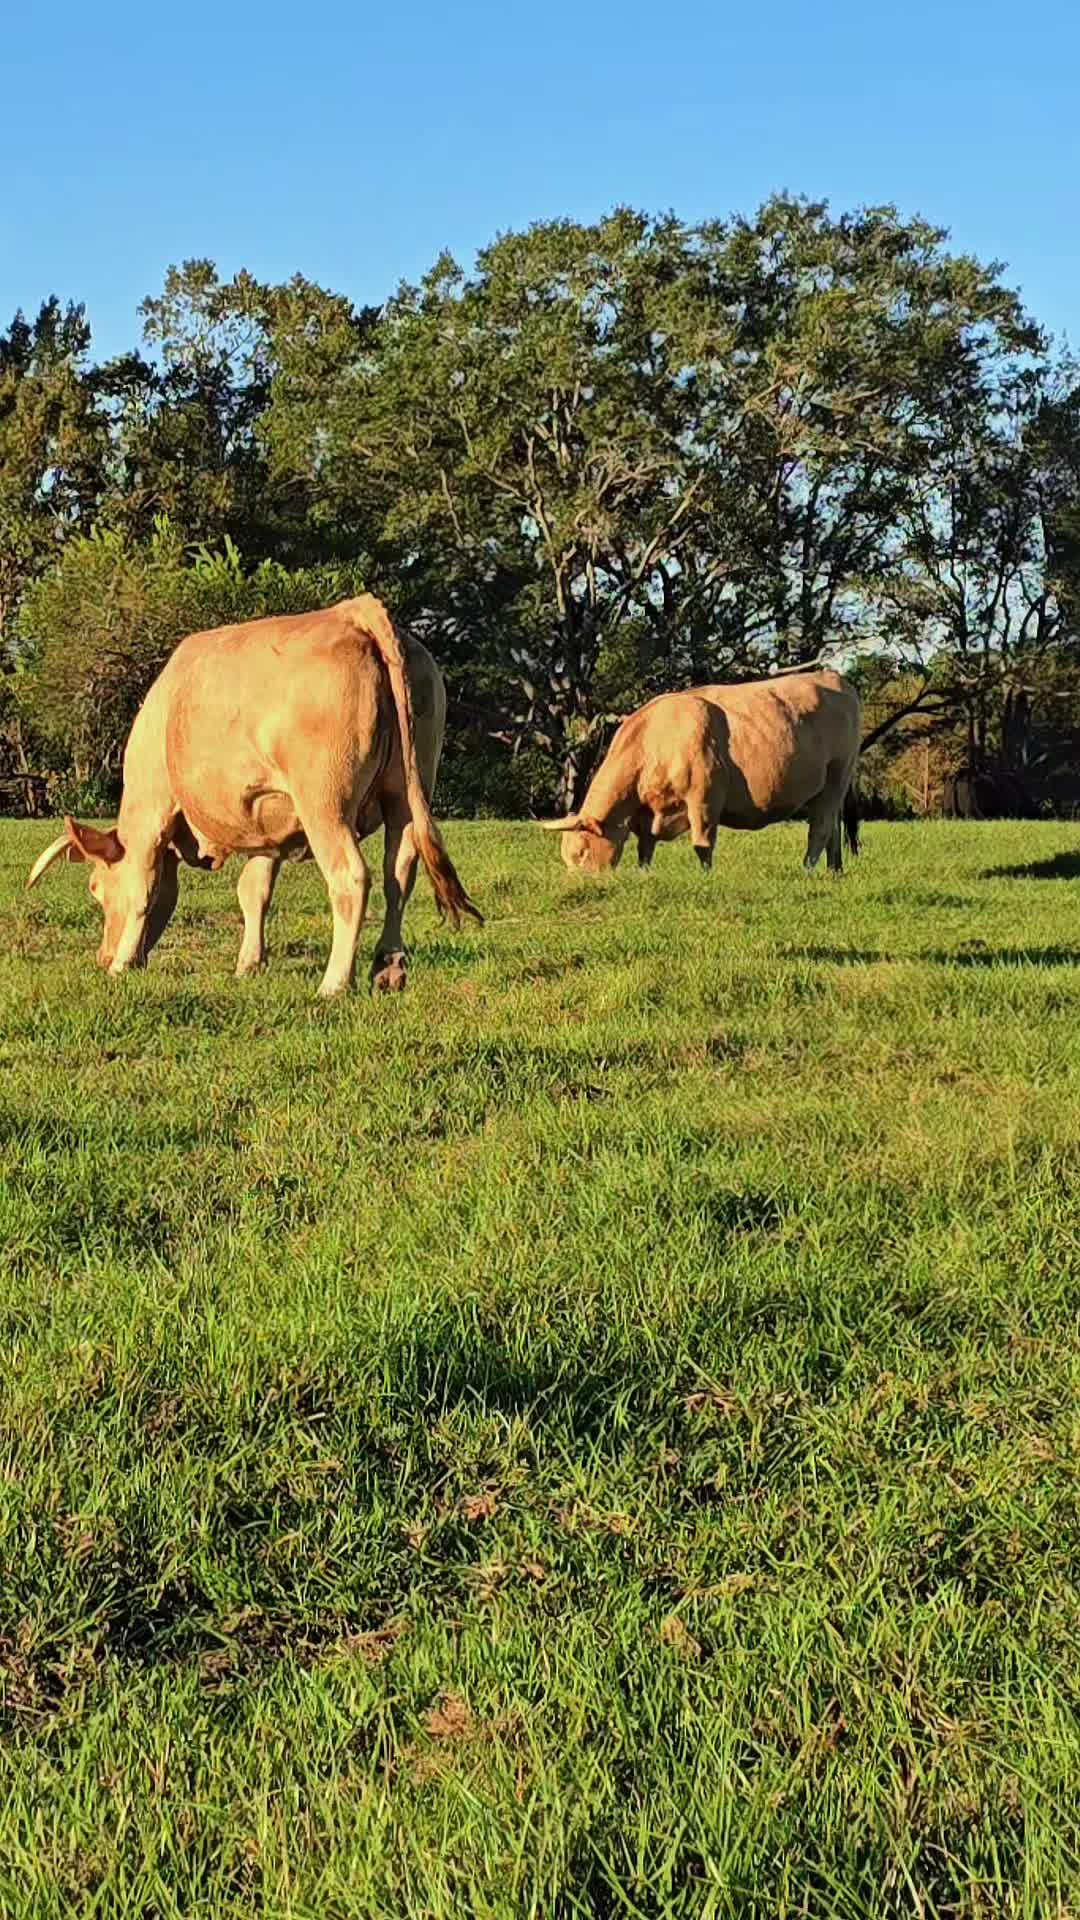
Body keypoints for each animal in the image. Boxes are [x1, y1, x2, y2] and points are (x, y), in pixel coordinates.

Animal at [26, 595, 481, 997]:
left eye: (95, 887)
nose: (102, 956)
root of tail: (355, 611)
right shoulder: (268, 828)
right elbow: (254, 890)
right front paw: (249, 963)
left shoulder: (149, 810)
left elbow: (142, 888)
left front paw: (122, 965)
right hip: (405, 794)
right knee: (398, 874)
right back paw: (388, 969)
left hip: (324, 802)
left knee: (351, 877)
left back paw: (334, 984)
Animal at [542, 670, 861, 875]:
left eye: (581, 851)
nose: (579, 884)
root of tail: (832, 677)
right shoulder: (647, 814)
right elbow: (646, 848)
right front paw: (644, 875)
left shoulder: (703, 798)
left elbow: (702, 844)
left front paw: (705, 878)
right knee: (833, 828)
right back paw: (834, 870)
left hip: (837, 777)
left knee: (821, 828)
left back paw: (807, 870)